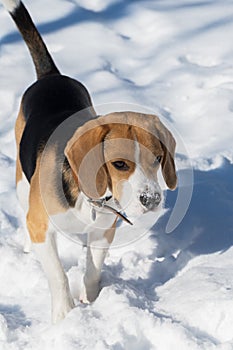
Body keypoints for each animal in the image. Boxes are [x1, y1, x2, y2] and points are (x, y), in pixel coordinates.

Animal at [2, 0, 177, 322]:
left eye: (158, 159)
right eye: (120, 164)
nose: (151, 200)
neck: (91, 197)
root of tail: (51, 77)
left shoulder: (103, 231)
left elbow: (93, 270)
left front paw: (92, 300)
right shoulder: (40, 227)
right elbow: (58, 275)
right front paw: (64, 315)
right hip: (22, 183)